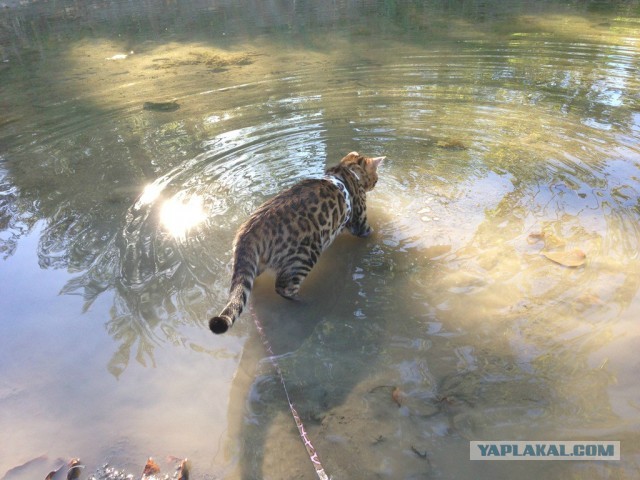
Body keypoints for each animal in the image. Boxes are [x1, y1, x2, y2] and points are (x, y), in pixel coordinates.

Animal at [210, 151, 382, 334]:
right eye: (376, 179)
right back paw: (307, 301)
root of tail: (249, 231)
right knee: (283, 287)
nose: (375, 184)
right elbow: (371, 233)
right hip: (305, 256)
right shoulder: (360, 223)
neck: (347, 169)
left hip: (257, 264)